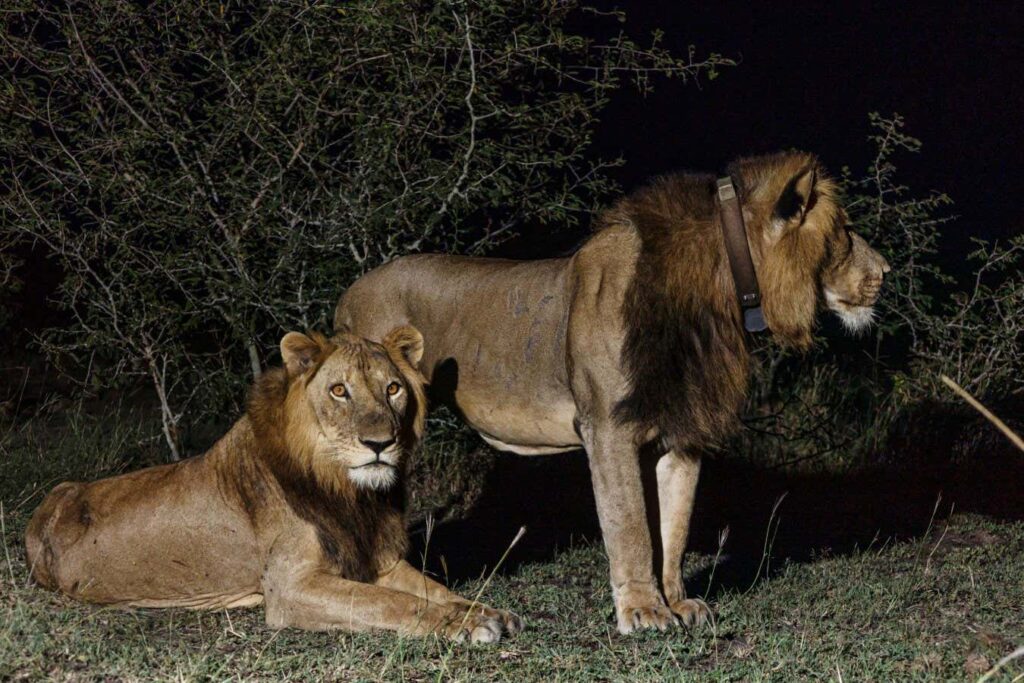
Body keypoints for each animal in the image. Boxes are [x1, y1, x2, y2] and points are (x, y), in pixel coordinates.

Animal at [25, 327, 523, 643]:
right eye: (339, 391)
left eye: (393, 389)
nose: (380, 443)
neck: (348, 491)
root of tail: (49, 504)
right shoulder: (290, 587)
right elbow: (390, 604)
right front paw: (465, 625)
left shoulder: (376, 560)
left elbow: (433, 589)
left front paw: (483, 611)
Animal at [334, 151, 890, 634]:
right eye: (844, 232)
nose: (885, 272)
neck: (717, 297)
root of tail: (350, 291)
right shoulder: (607, 427)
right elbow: (631, 527)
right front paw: (643, 611)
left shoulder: (682, 431)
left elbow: (674, 528)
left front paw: (678, 603)